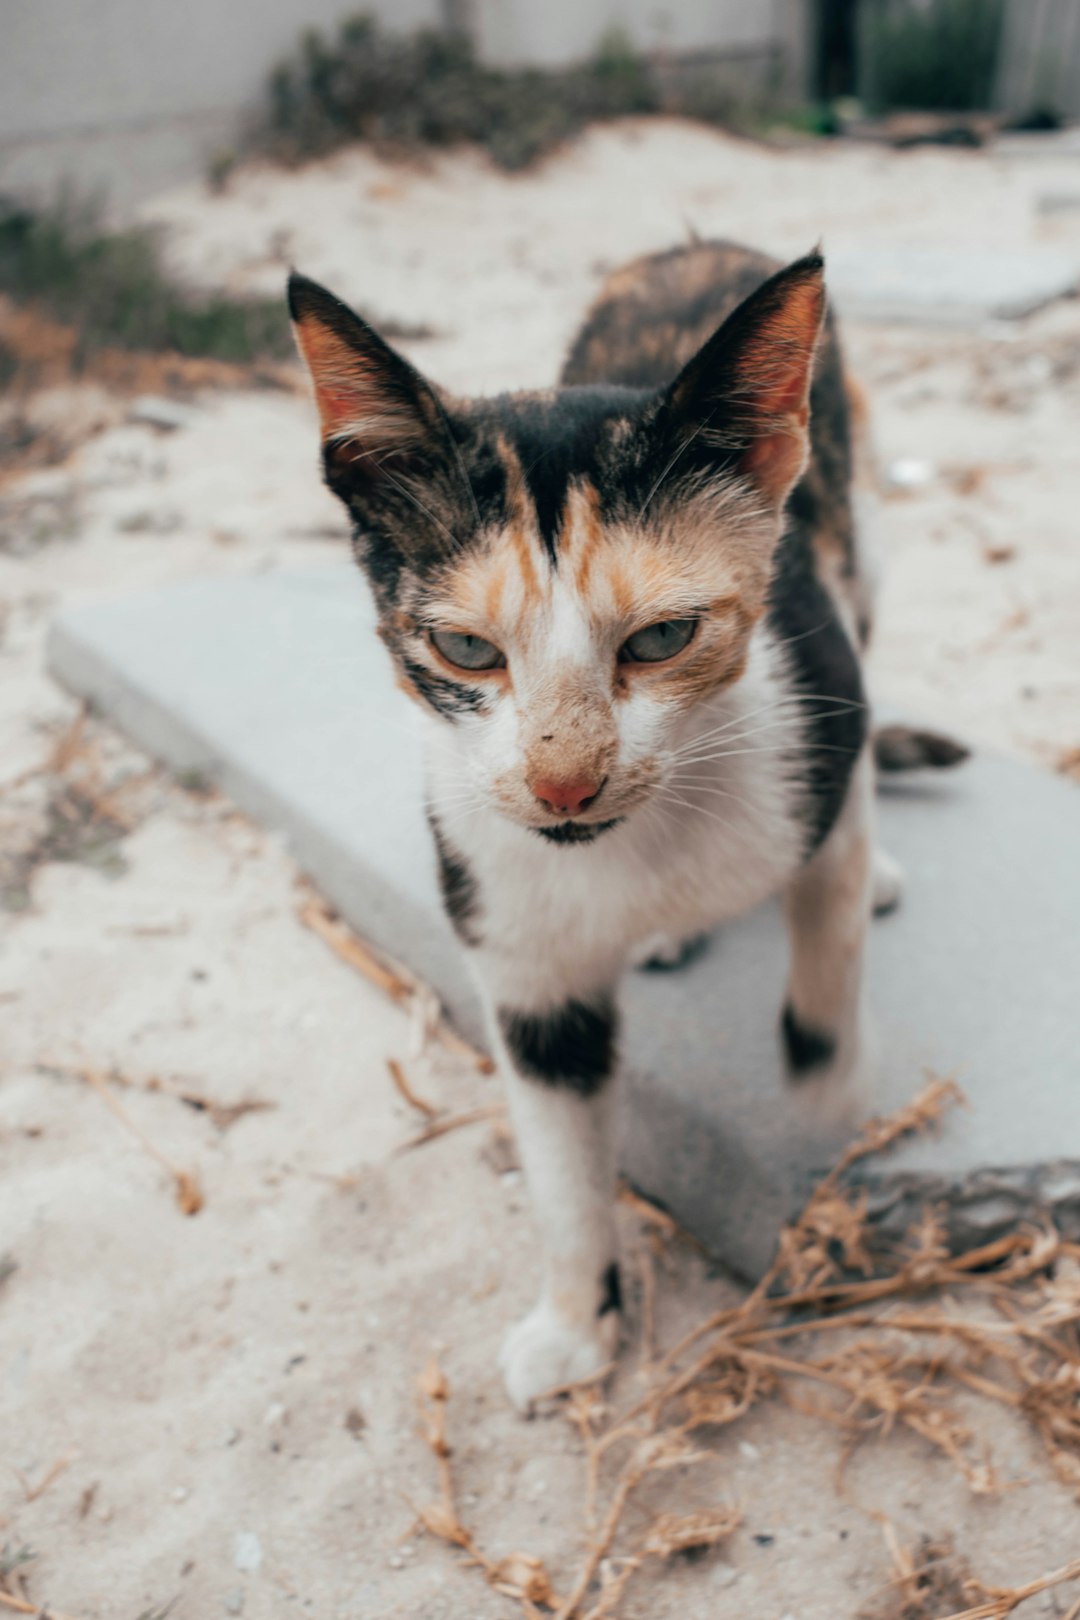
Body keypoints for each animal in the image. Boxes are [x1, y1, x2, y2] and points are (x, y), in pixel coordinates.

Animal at [291, 236, 952, 1406]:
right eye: (465, 649)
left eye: (662, 639)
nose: (563, 787)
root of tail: (697, 244)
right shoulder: (515, 946)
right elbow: (560, 1163)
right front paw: (572, 1324)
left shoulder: (822, 709)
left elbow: (827, 943)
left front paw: (830, 1086)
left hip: (856, 550)